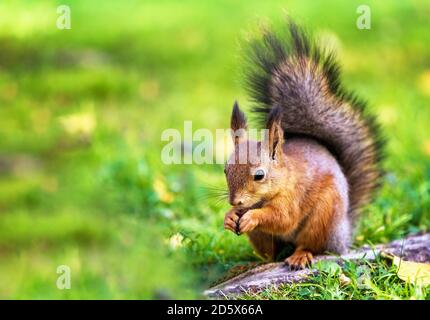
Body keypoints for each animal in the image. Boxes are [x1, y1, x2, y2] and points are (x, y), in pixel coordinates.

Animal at [223, 21, 384, 268]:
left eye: (259, 175)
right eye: (225, 170)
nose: (234, 201)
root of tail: (343, 236)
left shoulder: (293, 197)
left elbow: (283, 218)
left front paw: (252, 216)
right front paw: (230, 217)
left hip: (323, 218)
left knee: (312, 246)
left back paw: (300, 256)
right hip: (265, 238)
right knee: (271, 255)